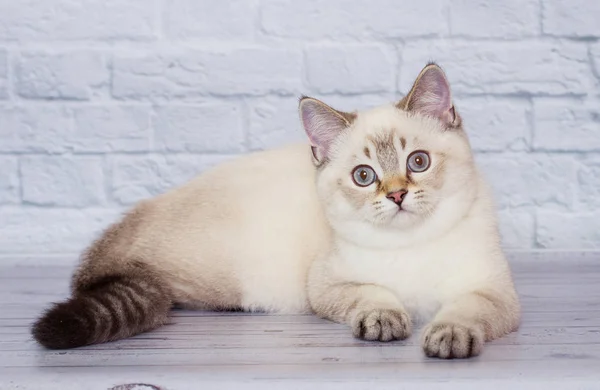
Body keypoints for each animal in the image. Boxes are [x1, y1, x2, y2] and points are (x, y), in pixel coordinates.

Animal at [32, 62, 520, 358]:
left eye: (417, 162)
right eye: (364, 176)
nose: (397, 196)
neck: (412, 243)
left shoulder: (494, 291)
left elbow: (466, 310)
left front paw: (448, 335)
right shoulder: (326, 285)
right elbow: (372, 294)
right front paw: (385, 318)